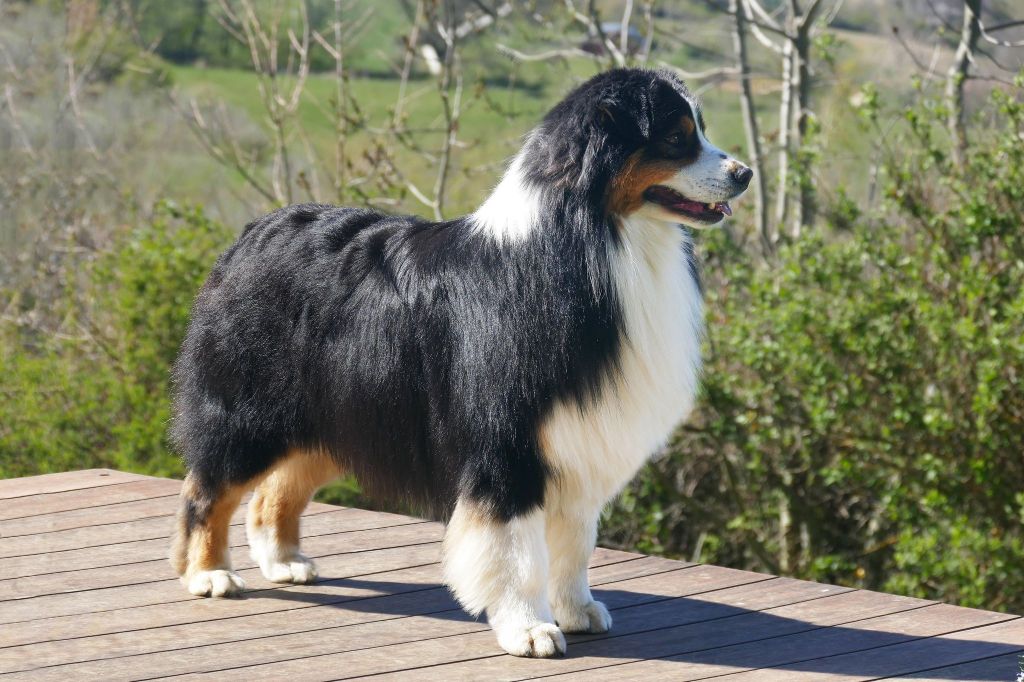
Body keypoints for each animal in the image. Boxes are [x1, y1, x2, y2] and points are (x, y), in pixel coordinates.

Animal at [169, 67, 750, 658]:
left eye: (699, 129)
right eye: (676, 138)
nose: (745, 173)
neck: (595, 240)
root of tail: (251, 234)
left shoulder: (576, 437)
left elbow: (574, 542)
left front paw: (577, 610)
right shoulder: (506, 445)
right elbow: (517, 552)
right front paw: (529, 628)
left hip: (338, 414)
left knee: (274, 492)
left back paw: (285, 563)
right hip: (248, 412)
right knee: (207, 491)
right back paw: (209, 575)